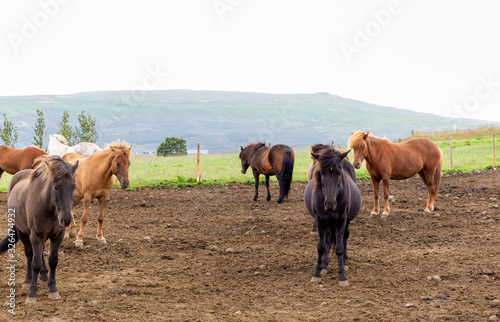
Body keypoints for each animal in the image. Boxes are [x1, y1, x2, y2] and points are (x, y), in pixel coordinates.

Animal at [0, 155, 77, 304]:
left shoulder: (57, 236)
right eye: (56, 187)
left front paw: (53, 289)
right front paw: (32, 292)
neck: (49, 208)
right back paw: (28, 280)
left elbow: (53, 261)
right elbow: (35, 263)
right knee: (30, 253)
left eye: (74, 187)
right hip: (23, 232)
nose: (66, 220)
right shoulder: (35, 235)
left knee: (40, 253)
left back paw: (44, 276)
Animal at [304, 144, 360, 286]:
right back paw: (324, 266)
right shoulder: (320, 220)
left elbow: (339, 248)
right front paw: (317, 273)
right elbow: (321, 246)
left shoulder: (341, 221)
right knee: (328, 240)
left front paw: (342, 277)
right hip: (328, 223)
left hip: (345, 222)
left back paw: (344, 263)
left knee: (344, 238)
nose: (330, 203)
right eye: (321, 173)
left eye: (339, 173)